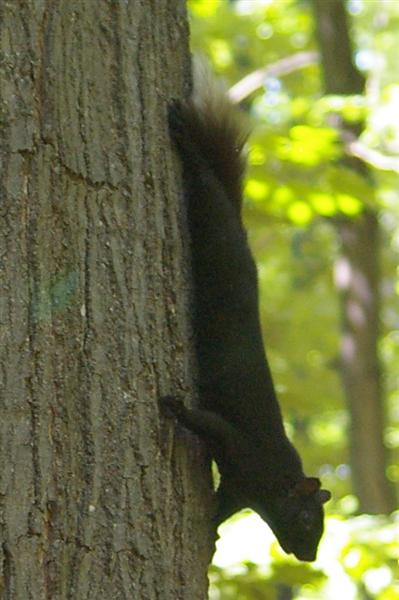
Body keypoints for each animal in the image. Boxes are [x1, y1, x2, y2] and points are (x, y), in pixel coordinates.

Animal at [163, 65, 332, 564]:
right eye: (307, 521)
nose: (309, 556)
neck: (277, 480)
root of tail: (240, 230)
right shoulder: (243, 452)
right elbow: (206, 424)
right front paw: (174, 408)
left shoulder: (240, 487)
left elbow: (222, 507)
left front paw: (213, 537)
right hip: (208, 218)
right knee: (201, 178)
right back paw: (182, 136)